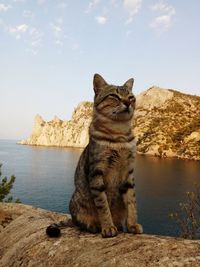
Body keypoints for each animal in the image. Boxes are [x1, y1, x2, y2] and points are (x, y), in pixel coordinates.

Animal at [46, 73, 143, 239]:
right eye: (114, 96)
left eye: (131, 97)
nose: (127, 102)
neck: (120, 135)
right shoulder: (97, 173)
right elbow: (103, 205)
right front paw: (108, 226)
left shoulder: (129, 173)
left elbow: (132, 203)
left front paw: (132, 225)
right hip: (76, 201)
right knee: (81, 224)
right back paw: (94, 226)